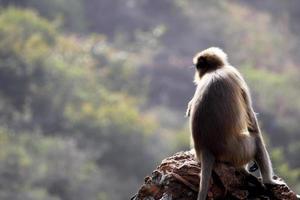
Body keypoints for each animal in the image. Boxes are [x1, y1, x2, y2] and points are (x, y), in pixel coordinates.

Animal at [185, 47, 282, 200]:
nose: (197, 74)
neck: (215, 70)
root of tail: (206, 148)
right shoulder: (234, 73)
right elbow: (251, 117)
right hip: (237, 150)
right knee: (256, 140)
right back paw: (268, 181)